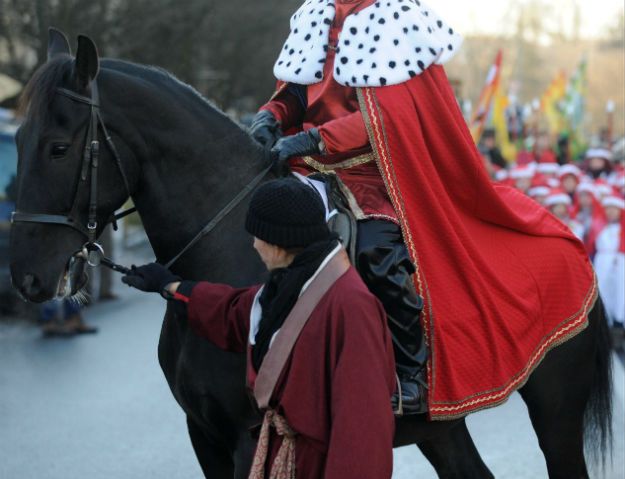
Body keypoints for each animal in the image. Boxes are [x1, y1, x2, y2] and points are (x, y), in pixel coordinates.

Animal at [9, 31, 612, 478]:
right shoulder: (203, 434)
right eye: (17, 139)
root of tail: (564, 236)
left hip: (556, 414)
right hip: (442, 425)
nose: (26, 277)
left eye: (58, 148)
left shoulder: (250, 436)